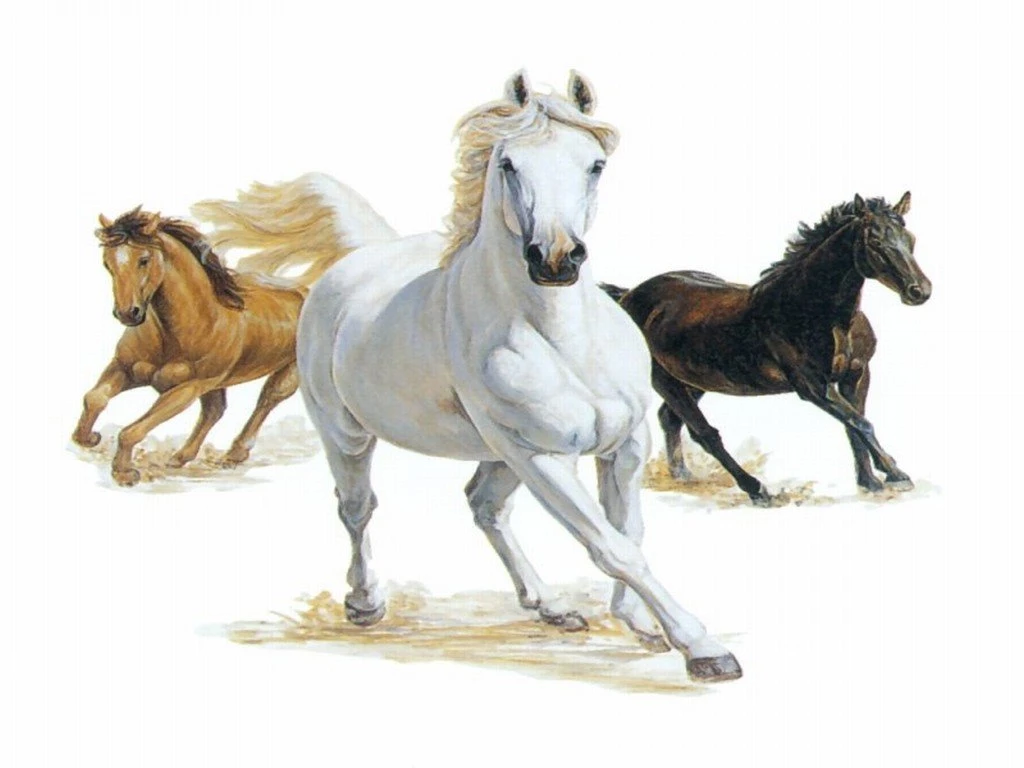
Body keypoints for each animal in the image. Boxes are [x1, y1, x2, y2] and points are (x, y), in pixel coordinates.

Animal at [72, 207, 342, 487]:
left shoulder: (186, 389)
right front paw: (88, 438)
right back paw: (181, 457)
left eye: (144, 260)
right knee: (215, 411)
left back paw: (233, 455)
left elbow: (132, 430)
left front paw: (124, 473)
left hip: (287, 373)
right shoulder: (125, 368)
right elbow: (94, 398)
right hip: (216, 383)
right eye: (107, 263)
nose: (127, 314)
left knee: (266, 401)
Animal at [195, 71, 742, 682]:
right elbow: (612, 547)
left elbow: (630, 532)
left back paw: (550, 606)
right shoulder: (539, 455)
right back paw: (365, 603)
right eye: (508, 163)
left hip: (497, 452)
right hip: (351, 434)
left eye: (595, 164)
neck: (563, 342)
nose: (556, 259)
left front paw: (642, 624)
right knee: (358, 508)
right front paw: (702, 648)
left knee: (484, 506)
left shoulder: (622, 444)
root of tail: (358, 262)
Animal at [602, 193, 931, 505]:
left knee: (670, 419)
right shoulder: (813, 387)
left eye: (910, 238)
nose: (920, 291)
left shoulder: (857, 375)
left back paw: (683, 475)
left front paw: (871, 483)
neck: (816, 312)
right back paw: (757, 490)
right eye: (875, 242)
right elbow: (861, 423)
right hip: (663, 380)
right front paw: (896, 475)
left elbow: (854, 425)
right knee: (705, 433)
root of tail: (628, 296)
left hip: (693, 380)